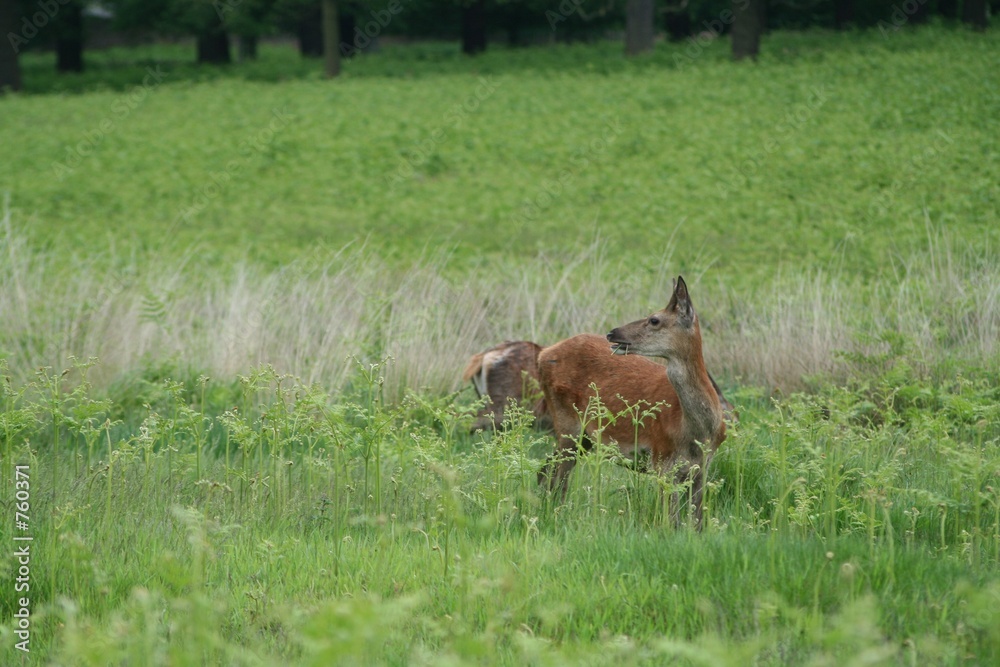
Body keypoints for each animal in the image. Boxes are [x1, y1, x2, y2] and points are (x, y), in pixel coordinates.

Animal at [536, 276, 727, 528]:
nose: (612, 333)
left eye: (654, 319)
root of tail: (543, 354)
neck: (696, 431)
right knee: (557, 476)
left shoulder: (703, 466)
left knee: (546, 468)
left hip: (582, 436)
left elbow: (697, 521)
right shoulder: (661, 457)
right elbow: (671, 521)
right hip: (567, 421)